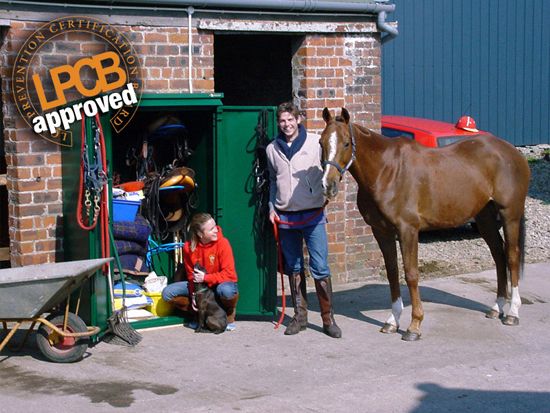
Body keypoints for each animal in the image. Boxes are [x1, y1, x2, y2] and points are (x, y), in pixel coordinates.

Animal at [322, 108, 532, 340]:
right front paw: (392, 321)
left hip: (510, 215)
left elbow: (411, 274)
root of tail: (512, 152)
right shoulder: (382, 231)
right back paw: (497, 308)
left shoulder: (408, 230)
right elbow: (393, 272)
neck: (387, 171)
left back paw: (512, 313)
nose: (328, 185)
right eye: (321, 142)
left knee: (511, 256)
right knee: (498, 255)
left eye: (346, 143)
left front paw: (414, 325)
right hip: (485, 218)